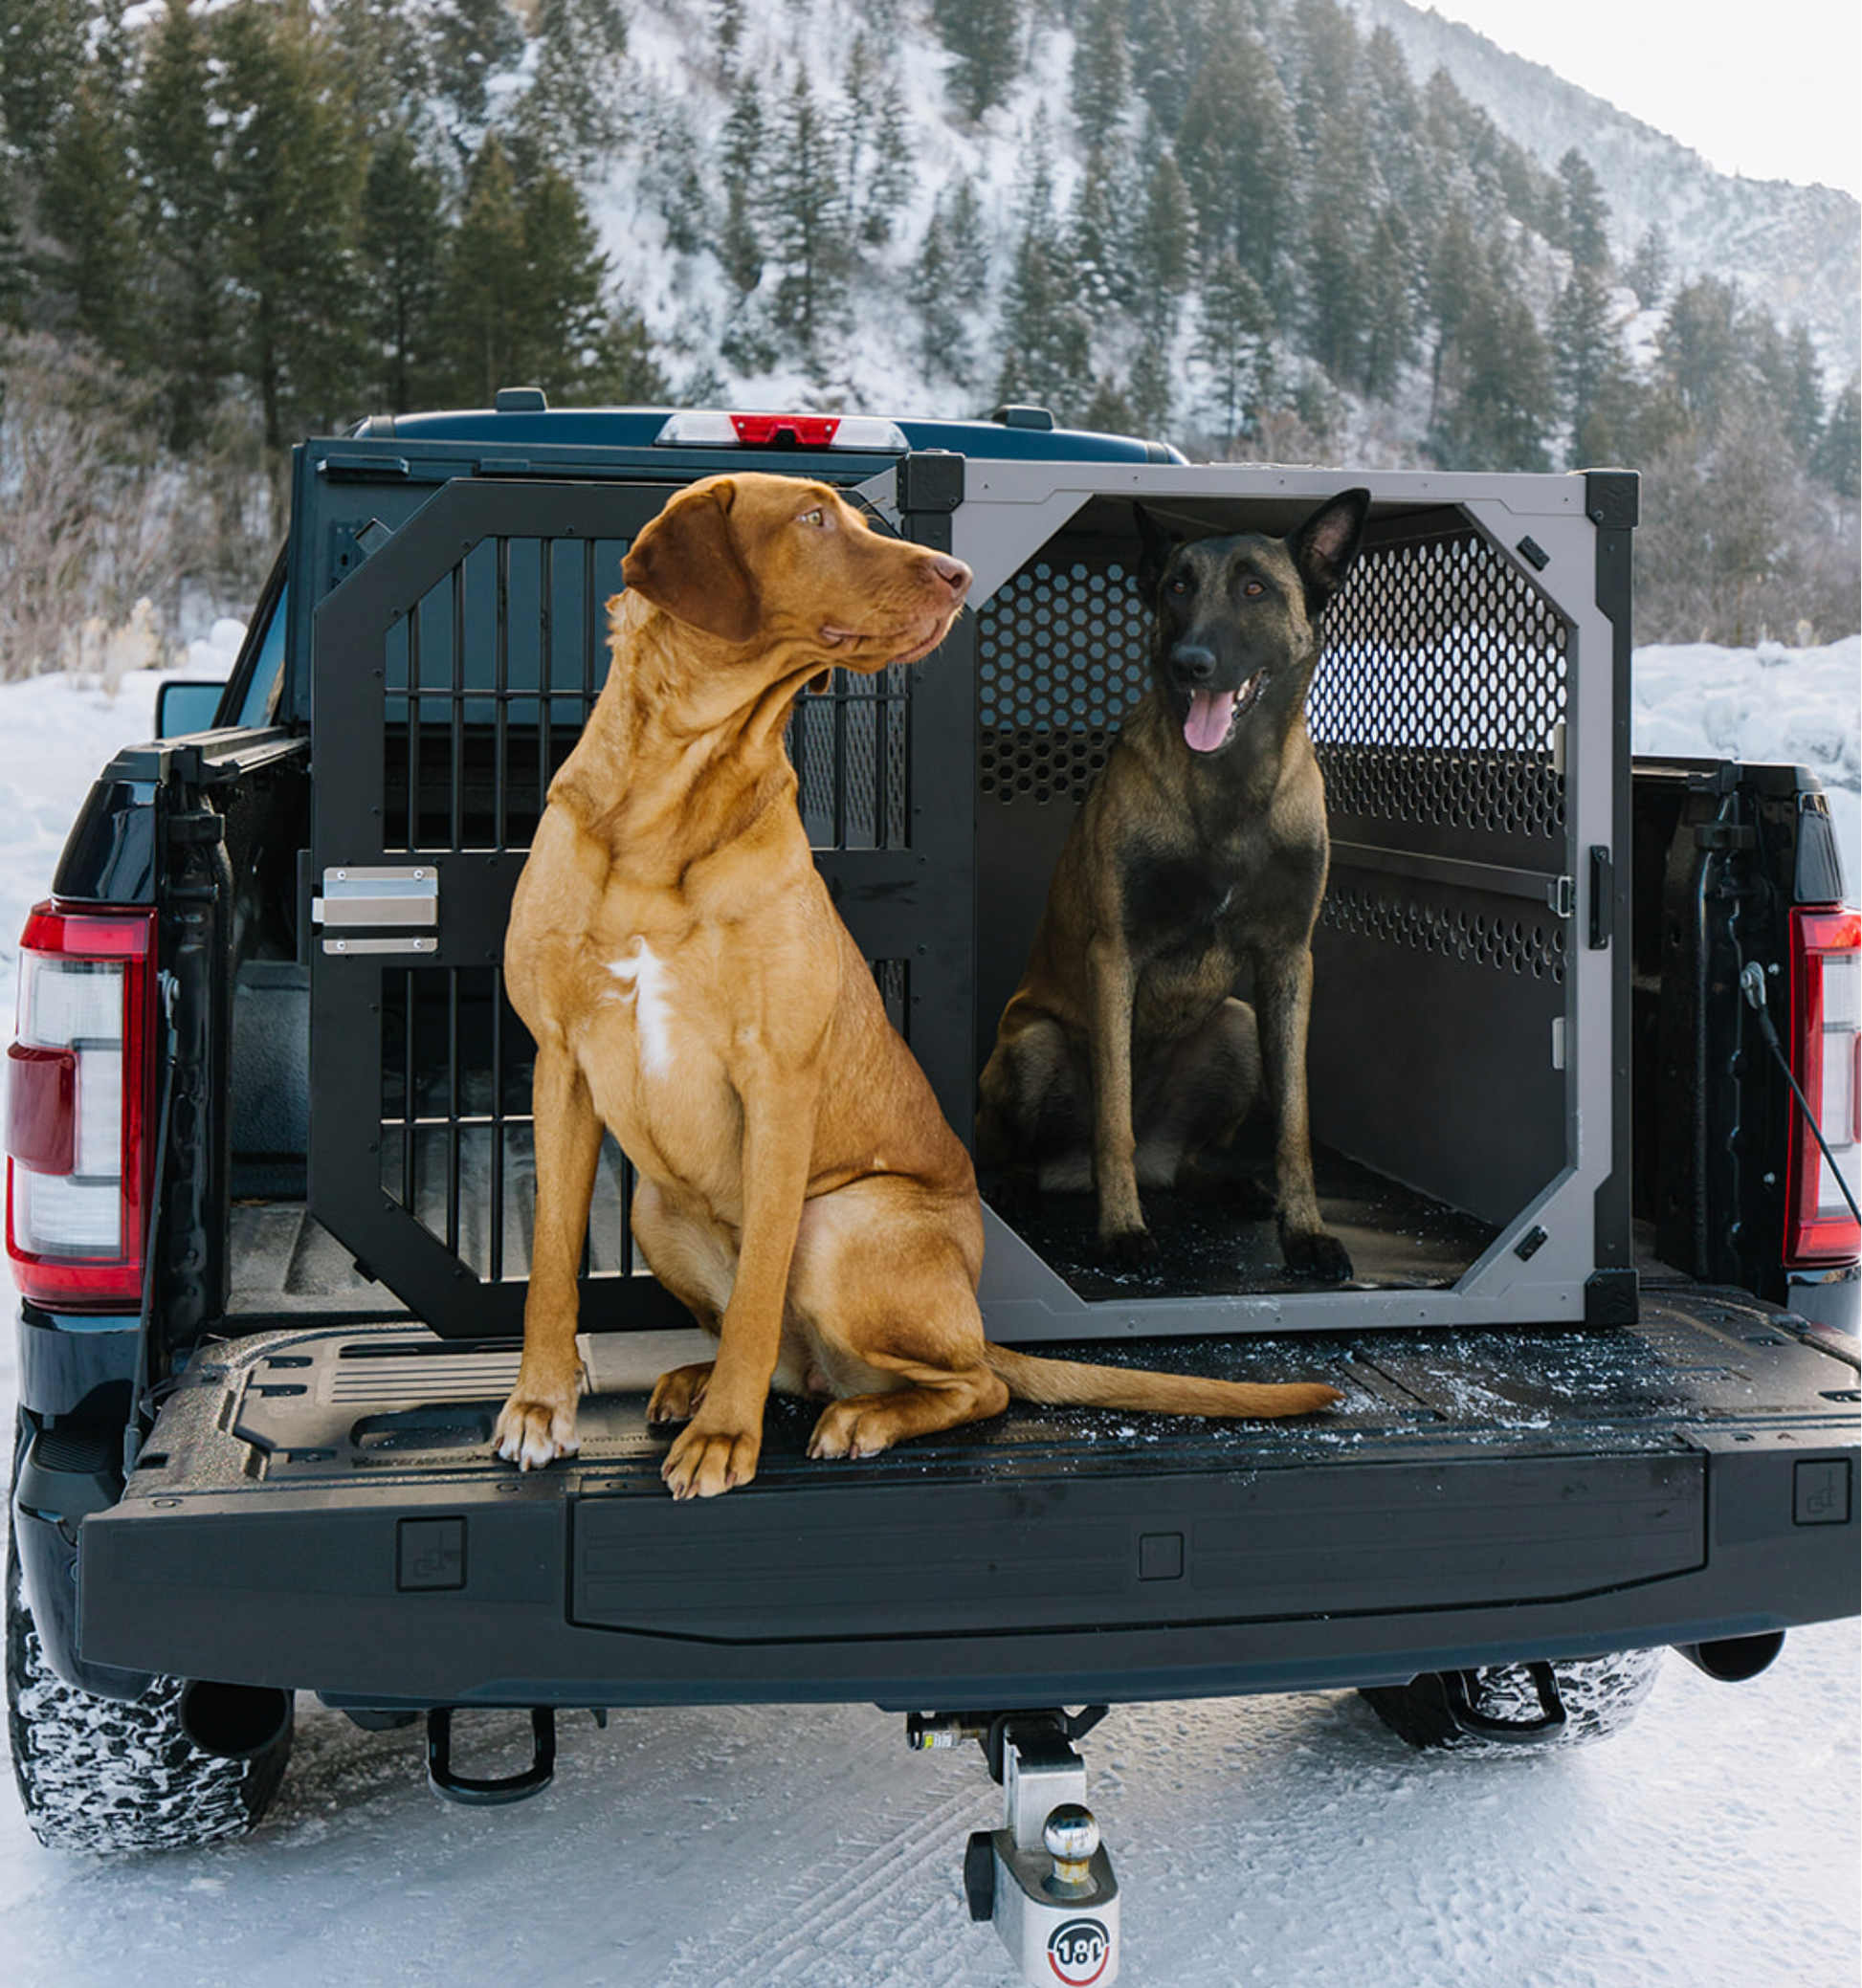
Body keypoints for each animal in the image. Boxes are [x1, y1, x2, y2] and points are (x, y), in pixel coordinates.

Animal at [974, 489, 1368, 1280]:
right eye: (1176, 588)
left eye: (1256, 590)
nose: (1191, 664)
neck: (1231, 783)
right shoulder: (1114, 955)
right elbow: (1114, 1121)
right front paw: (1122, 1230)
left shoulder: (1288, 961)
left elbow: (1294, 1122)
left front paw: (1305, 1230)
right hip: (1031, 1045)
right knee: (1039, 1151)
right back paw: (1026, 1190)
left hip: (1238, 1028)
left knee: (1182, 1161)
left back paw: (1216, 1182)